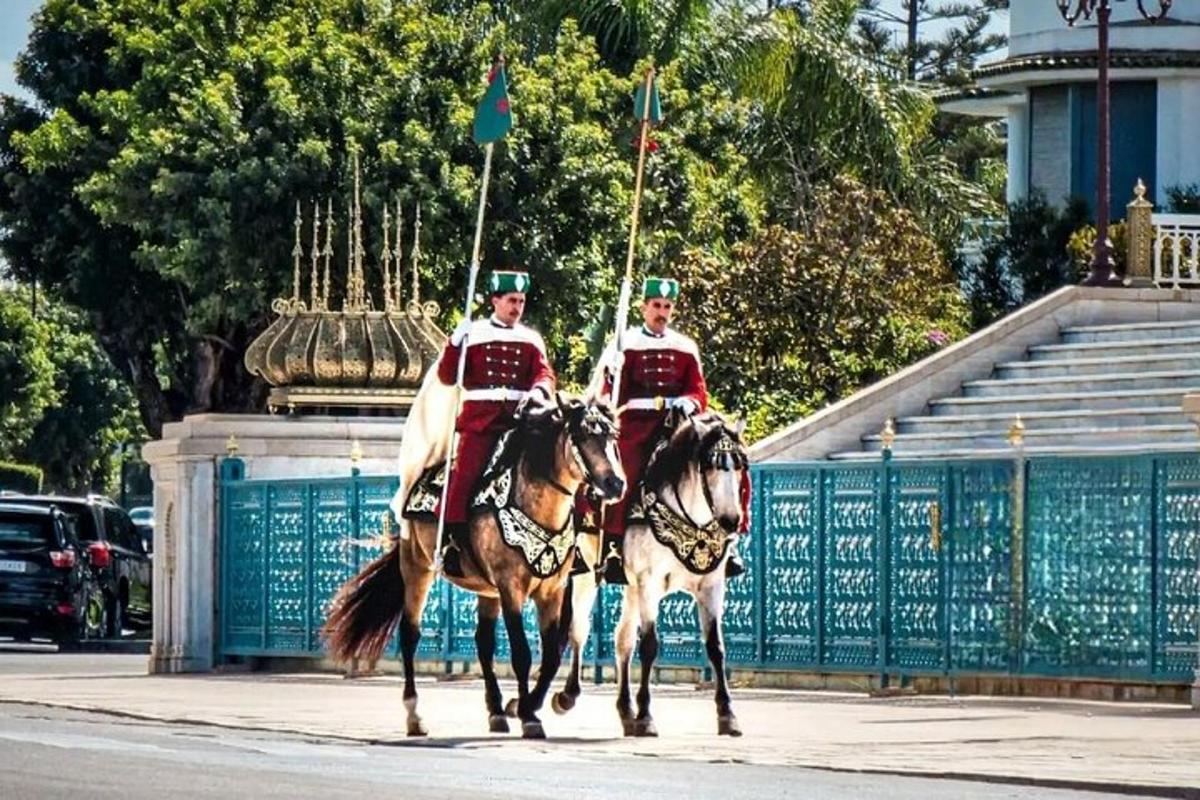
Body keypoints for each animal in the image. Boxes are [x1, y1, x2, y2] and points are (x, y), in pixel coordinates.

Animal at [319, 393, 624, 738]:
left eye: (613, 436)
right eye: (584, 435)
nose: (615, 483)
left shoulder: (552, 590)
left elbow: (549, 656)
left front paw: (528, 706)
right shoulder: (510, 588)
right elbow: (522, 652)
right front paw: (529, 716)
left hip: (486, 589)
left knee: (484, 642)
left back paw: (496, 711)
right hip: (418, 567)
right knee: (410, 635)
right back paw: (414, 715)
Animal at [554, 412, 748, 738]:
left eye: (739, 465)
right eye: (710, 466)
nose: (731, 521)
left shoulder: (711, 585)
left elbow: (716, 647)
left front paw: (728, 714)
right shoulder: (649, 583)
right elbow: (649, 646)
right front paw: (646, 716)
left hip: (629, 586)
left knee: (621, 639)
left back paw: (625, 710)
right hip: (586, 576)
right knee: (579, 629)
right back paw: (569, 695)